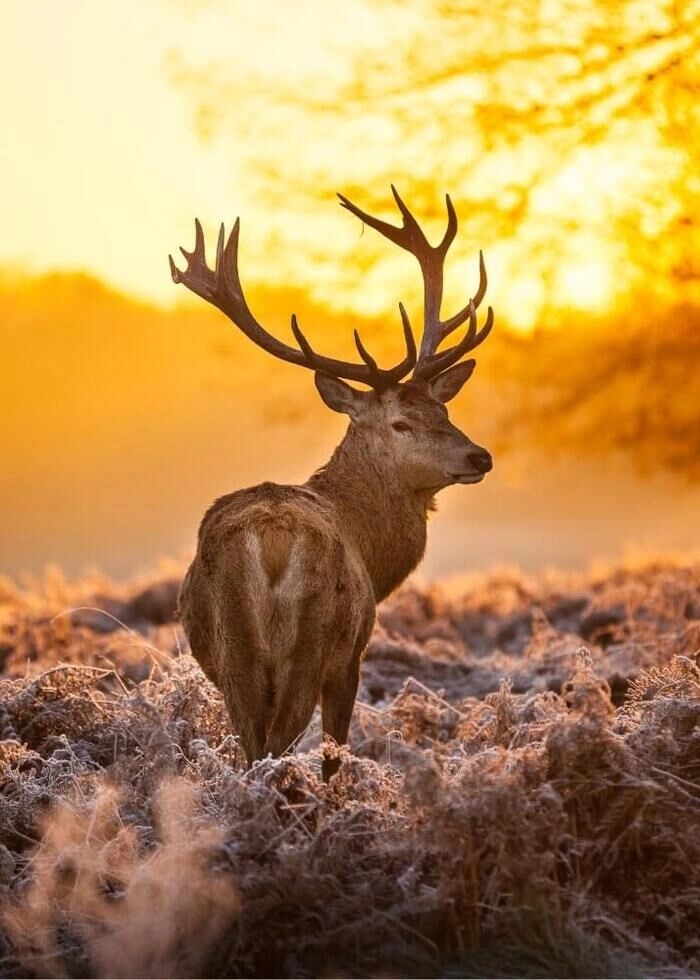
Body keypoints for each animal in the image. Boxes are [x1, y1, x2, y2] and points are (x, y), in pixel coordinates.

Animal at [172, 188, 494, 776]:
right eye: (401, 423)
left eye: (444, 409)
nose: (479, 455)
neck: (372, 549)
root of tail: (271, 540)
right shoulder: (352, 656)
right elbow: (334, 751)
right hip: (313, 640)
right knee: (278, 744)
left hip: (234, 653)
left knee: (252, 747)